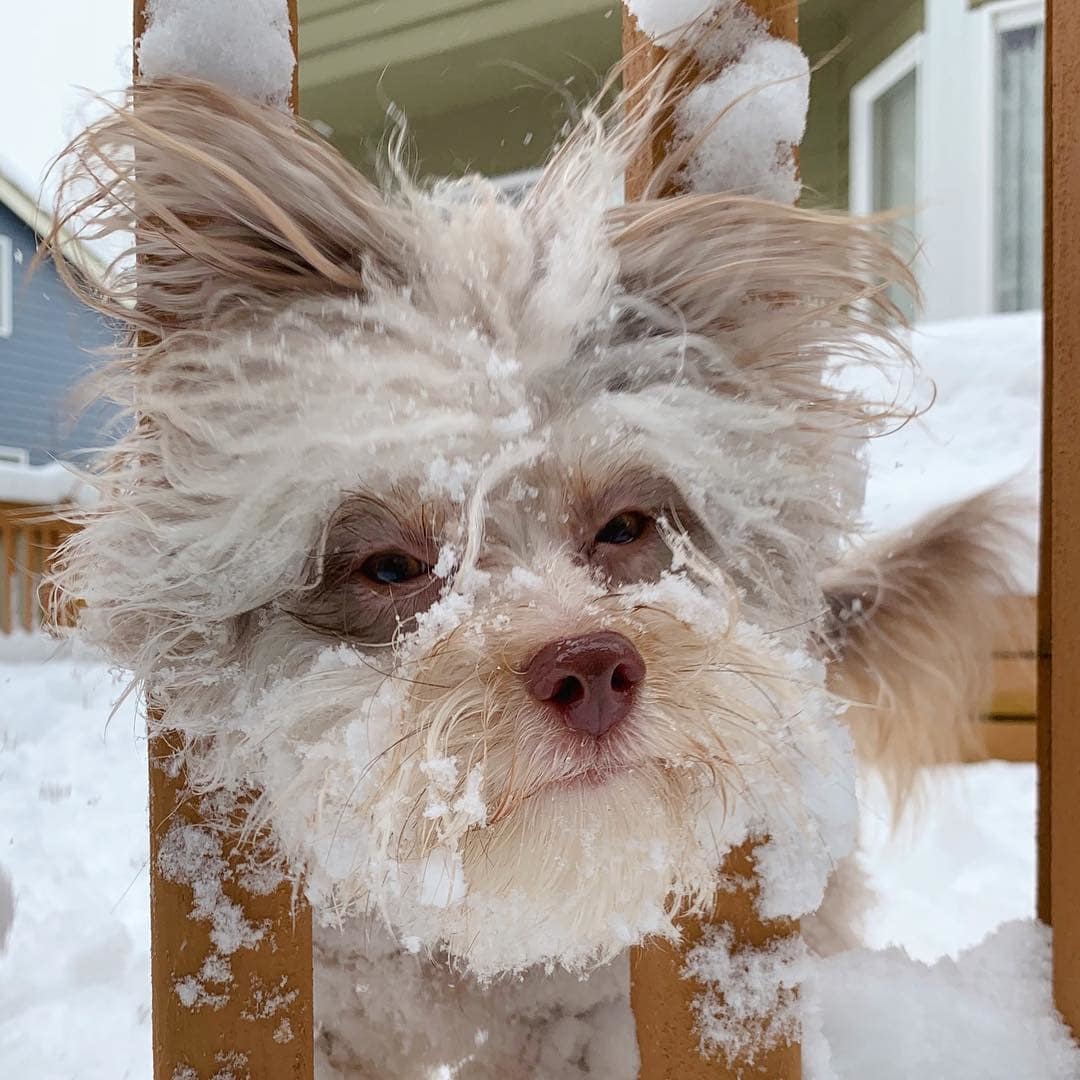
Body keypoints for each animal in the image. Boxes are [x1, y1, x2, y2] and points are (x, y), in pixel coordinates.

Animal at [44, 52, 1019, 1080]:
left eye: (625, 525)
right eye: (390, 567)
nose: (592, 669)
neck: (468, 942)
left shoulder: (580, 1028)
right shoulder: (334, 1020)